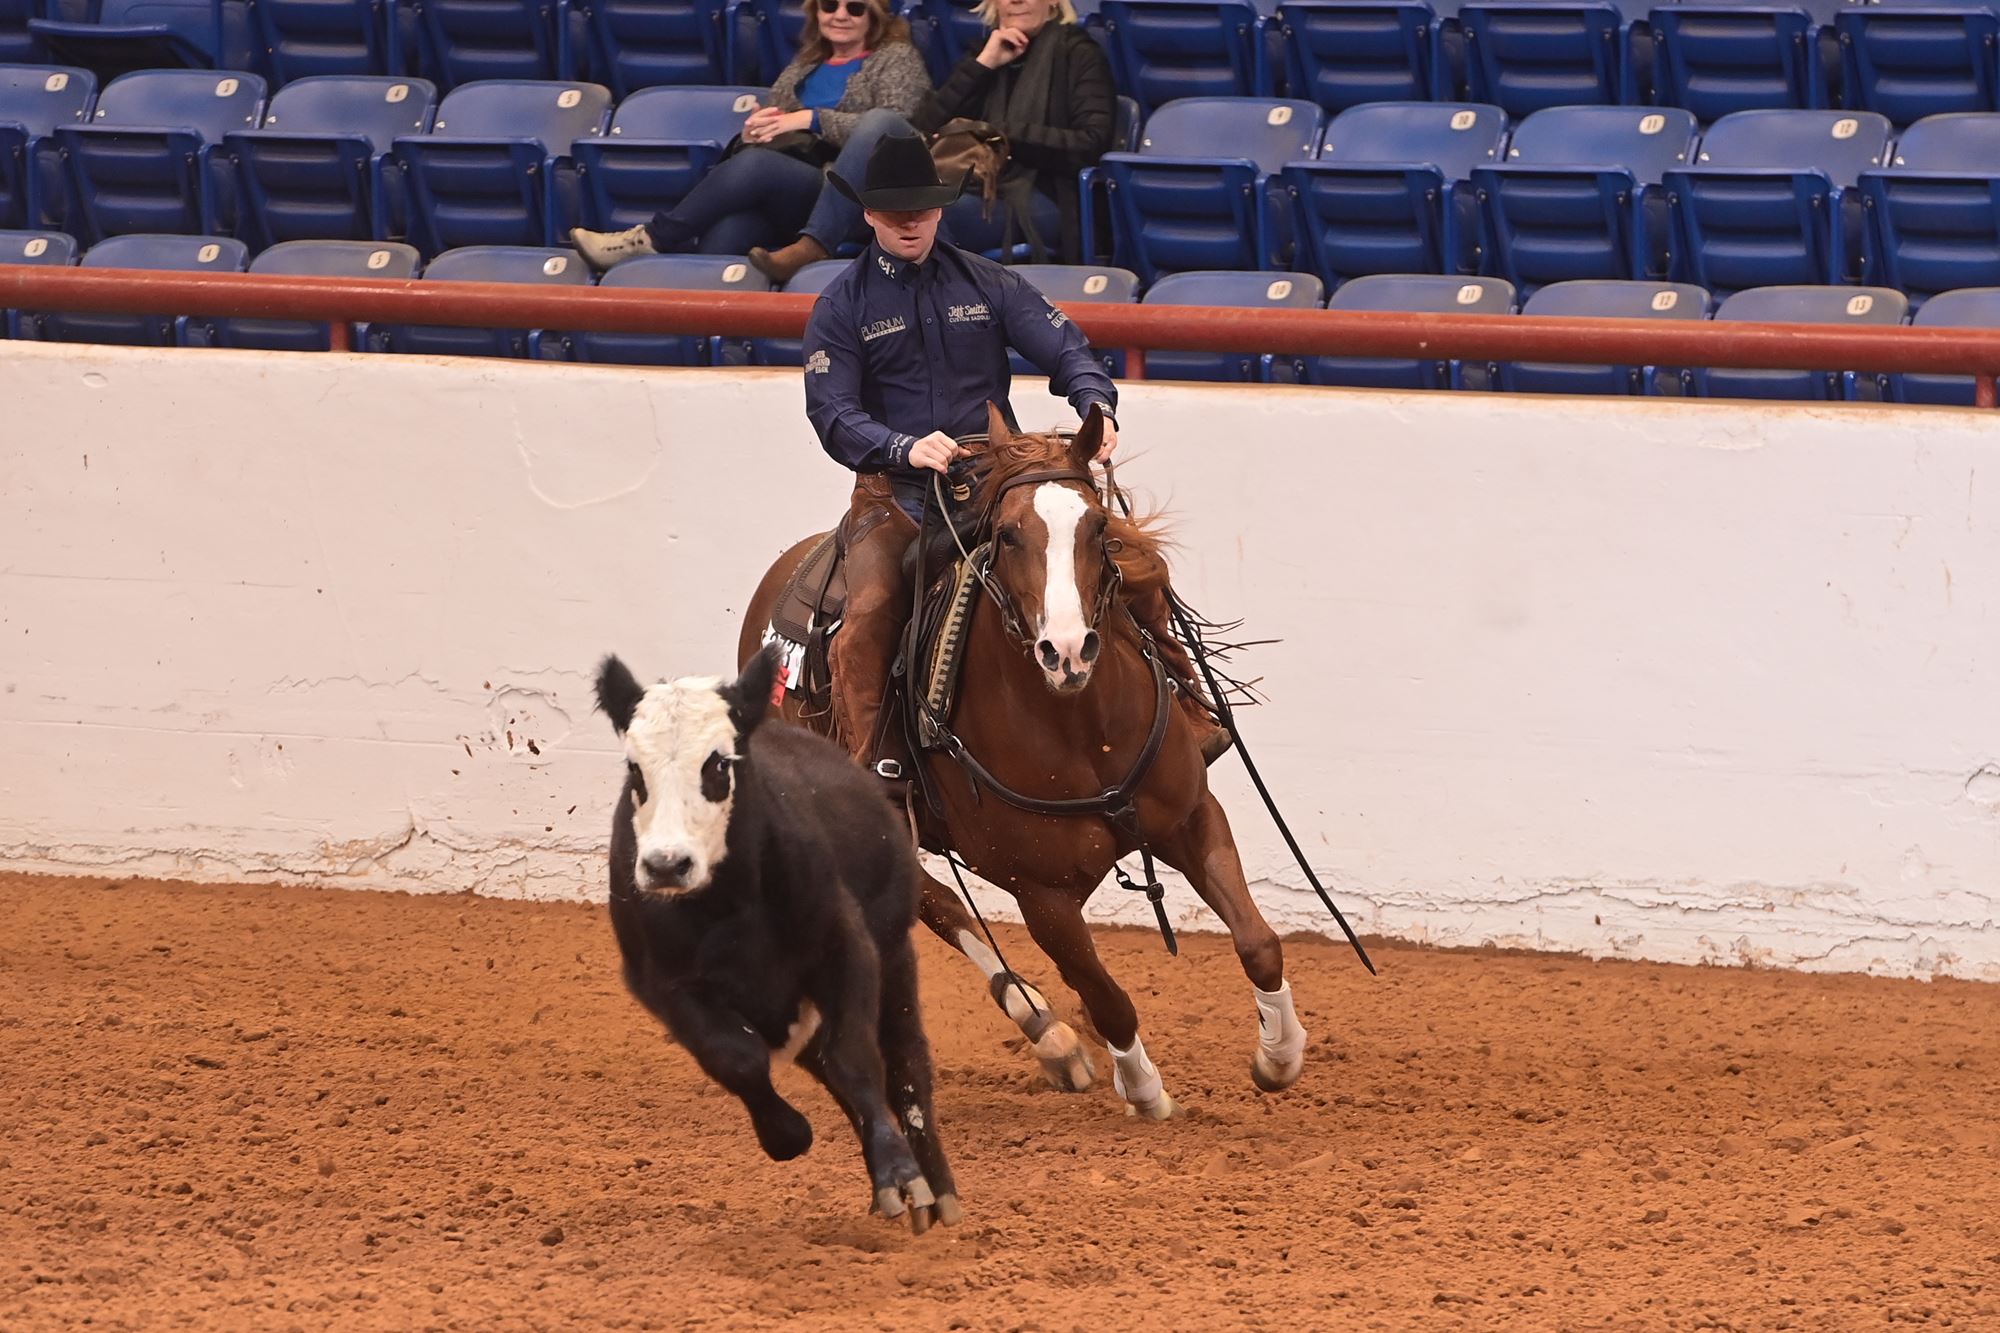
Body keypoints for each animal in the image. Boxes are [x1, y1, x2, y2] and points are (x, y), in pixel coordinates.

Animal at [737, 404, 1307, 1118]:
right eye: (1007, 536)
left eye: (1098, 526)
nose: (1067, 651)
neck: (1084, 731)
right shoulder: (1042, 896)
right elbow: (1108, 998)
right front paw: (1144, 1092)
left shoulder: (1192, 818)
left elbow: (1259, 942)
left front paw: (1279, 1054)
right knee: (938, 907)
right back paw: (1050, 1034)